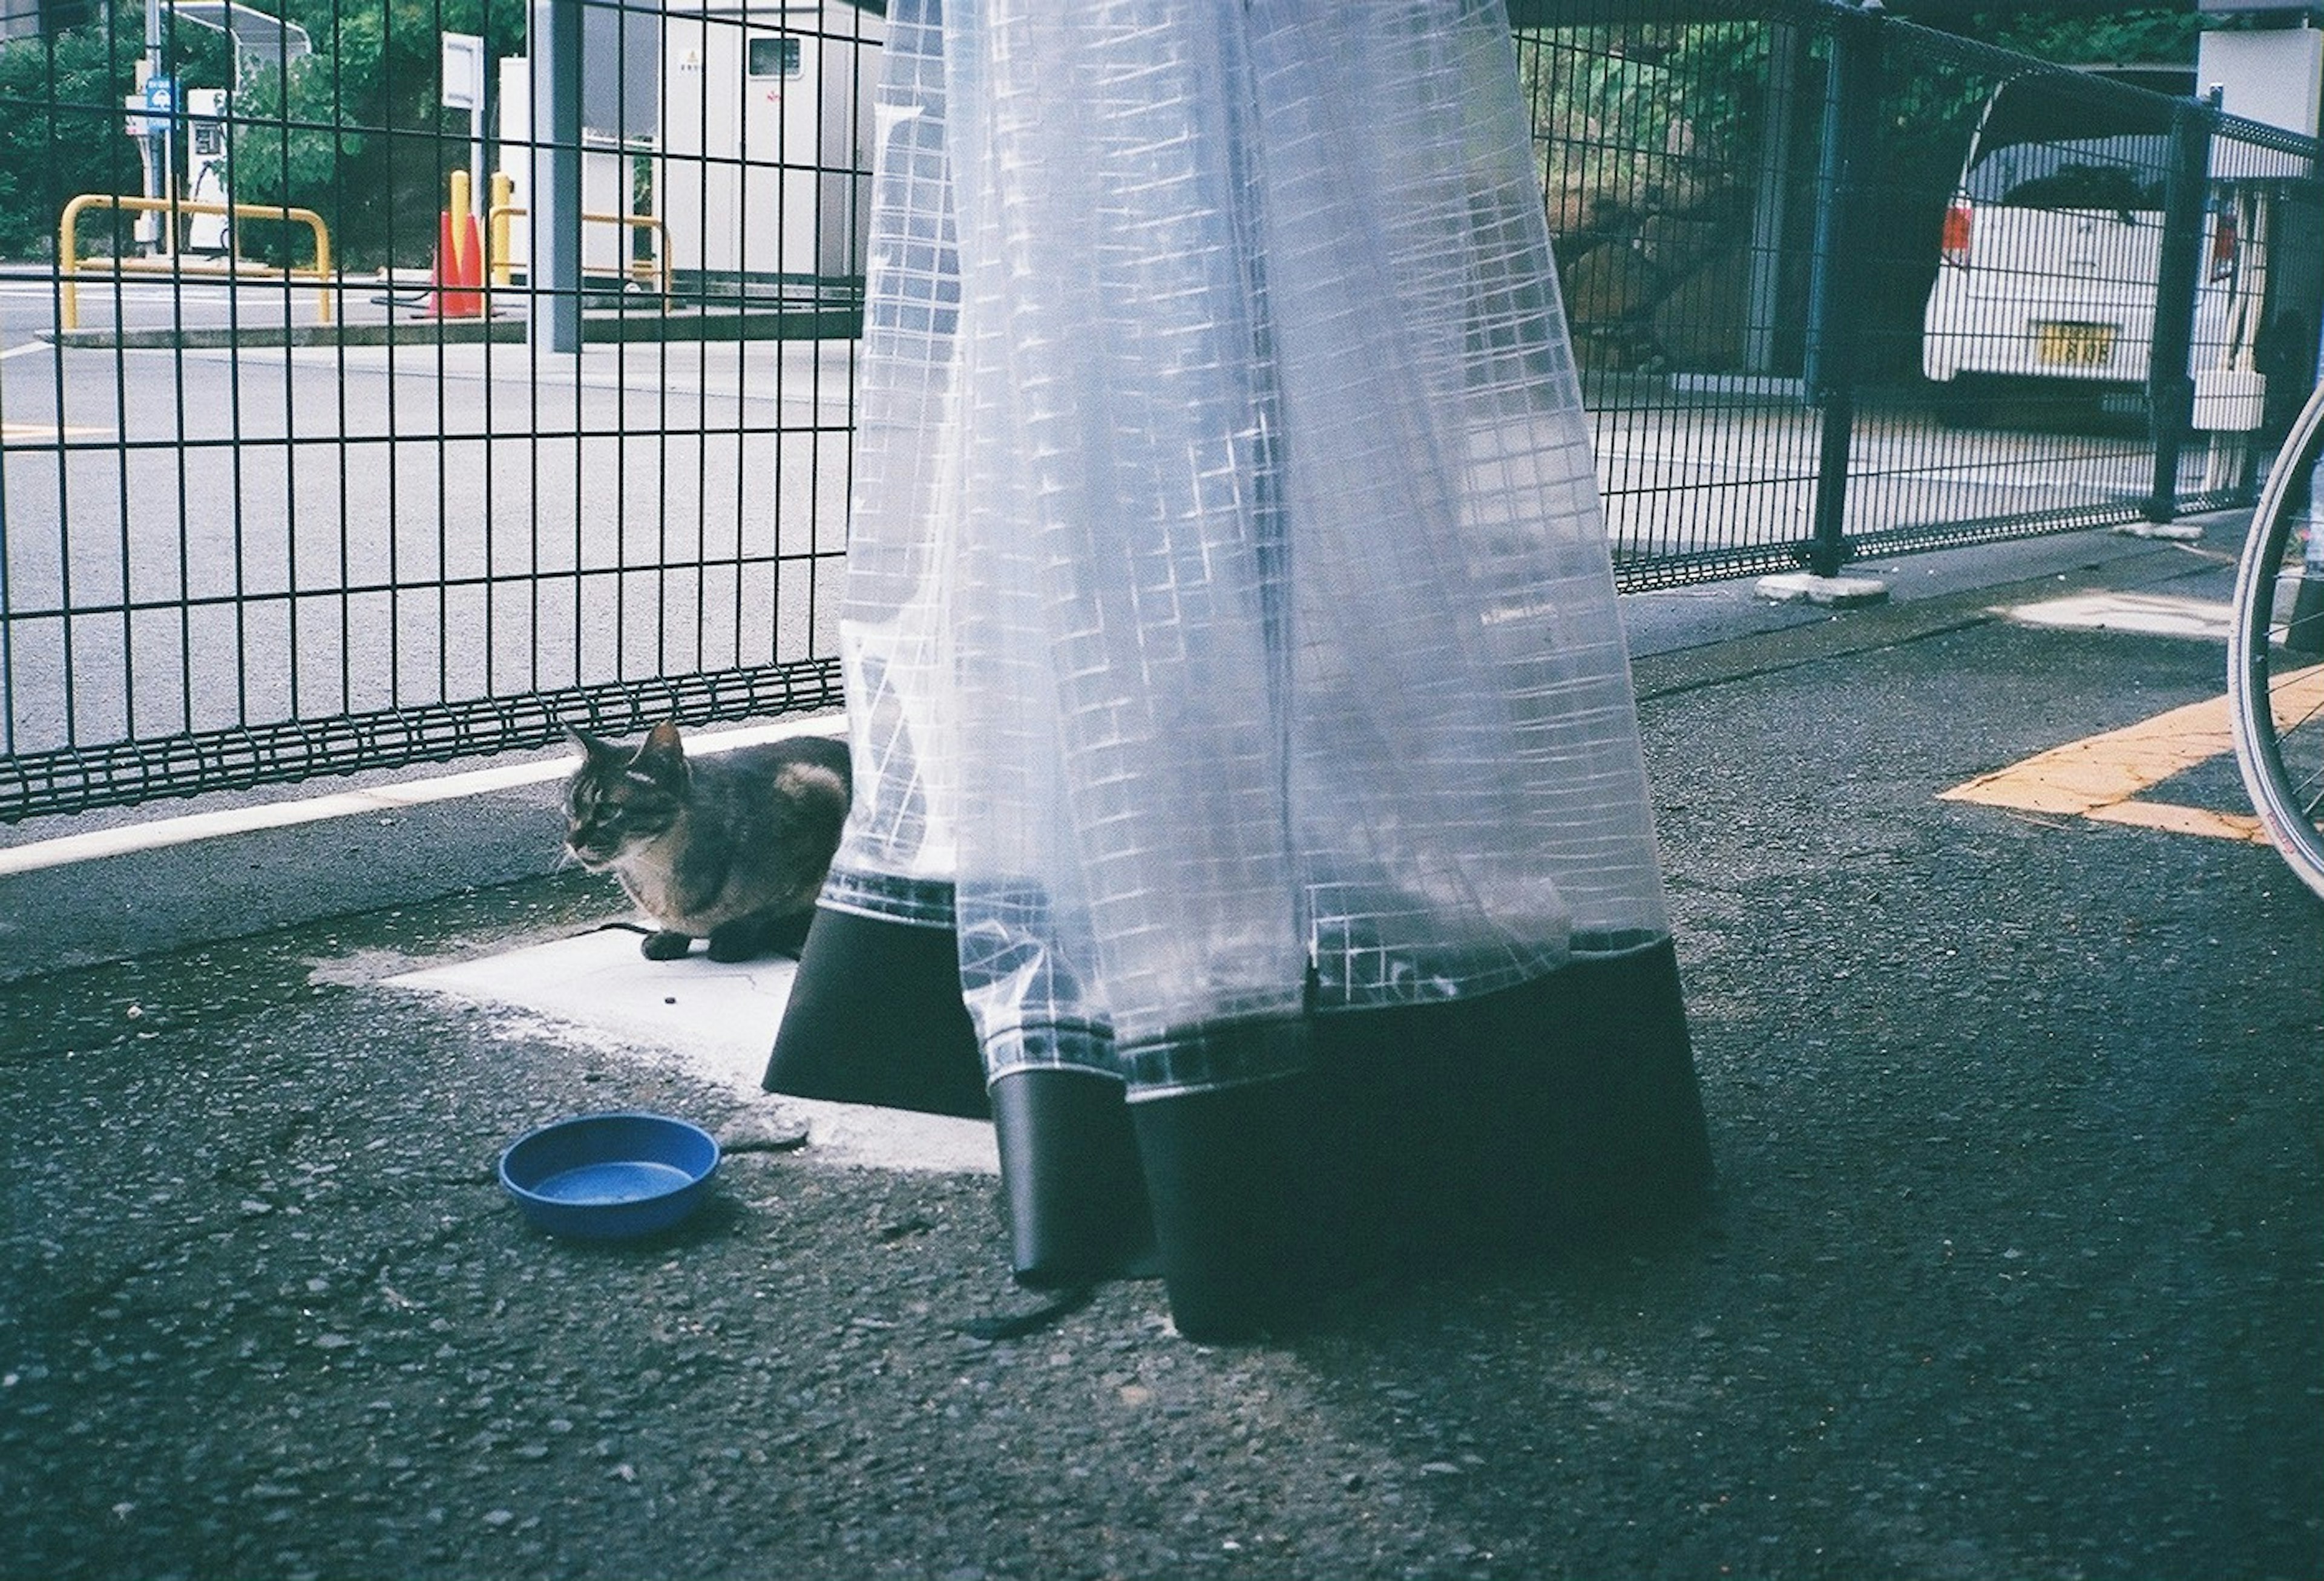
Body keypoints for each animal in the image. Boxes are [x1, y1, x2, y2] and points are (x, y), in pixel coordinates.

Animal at [562, 721, 855, 962]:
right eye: (571, 809)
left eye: (608, 811)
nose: (571, 841)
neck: (656, 870)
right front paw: (670, 937)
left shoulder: (822, 797)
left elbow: (766, 908)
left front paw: (735, 935)